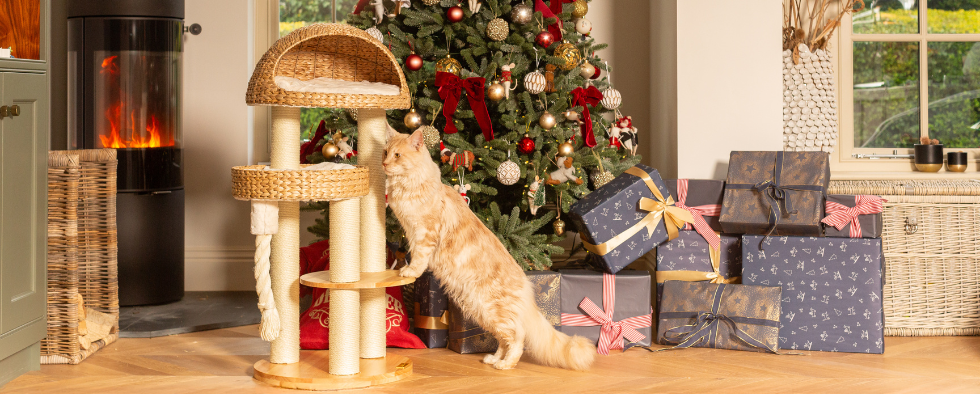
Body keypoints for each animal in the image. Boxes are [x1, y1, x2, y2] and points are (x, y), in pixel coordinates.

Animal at [382, 124, 596, 370]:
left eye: (397, 155)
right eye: (385, 152)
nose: (384, 164)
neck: (406, 186)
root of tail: (525, 284)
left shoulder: (425, 233)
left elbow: (418, 257)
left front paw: (409, 271)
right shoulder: (411, 231)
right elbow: (411, 252)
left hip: (494, 310)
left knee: (517, 338)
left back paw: (506, 365)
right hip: (483, 312)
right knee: (503, 339)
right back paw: (494, 358)